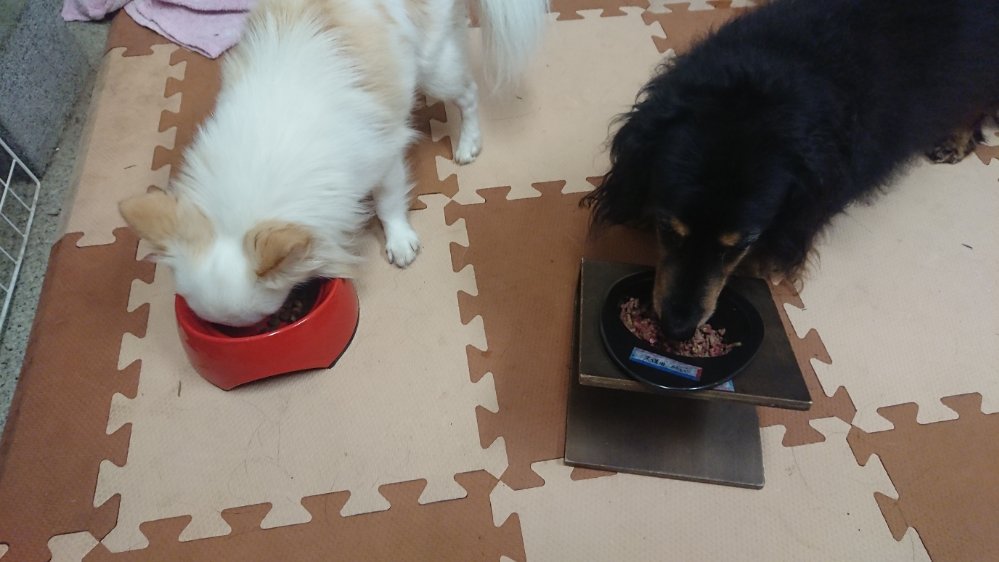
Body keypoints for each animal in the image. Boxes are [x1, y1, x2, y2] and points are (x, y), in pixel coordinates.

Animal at [119, 0, 548, 327]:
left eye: (265, 317)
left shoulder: (383, 157)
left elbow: (389, 203)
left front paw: (399, 242)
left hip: (436, 65)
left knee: (468, 94)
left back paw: (468, 143)